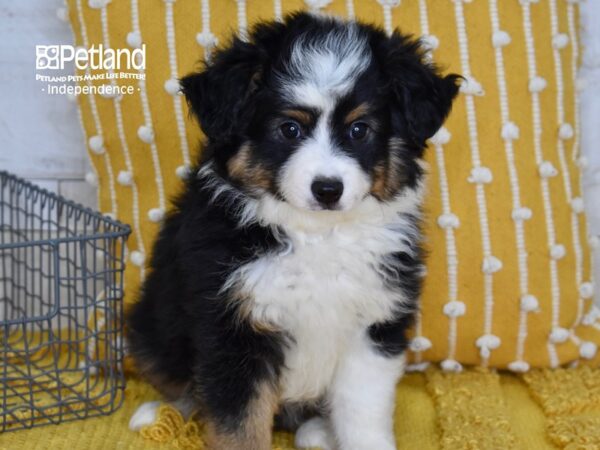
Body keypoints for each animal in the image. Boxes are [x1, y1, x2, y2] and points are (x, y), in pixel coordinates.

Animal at [126, 12, 460, 450]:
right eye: (289, 129)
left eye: (359, 130)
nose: (328, 189)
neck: (317, 235)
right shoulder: (231, 329)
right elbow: (238, 424)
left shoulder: (374, 325)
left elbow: (363, 410)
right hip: (149, 325)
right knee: (178, 377)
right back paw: (159, 414)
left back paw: (317, 431)